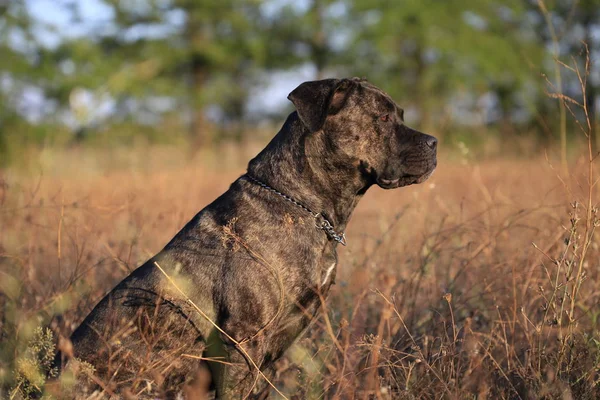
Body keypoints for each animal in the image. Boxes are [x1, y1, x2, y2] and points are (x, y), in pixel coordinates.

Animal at [59, 77, 436, 396]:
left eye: (400, 115)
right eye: (383, 117)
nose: (434, 142)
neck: (304, 205)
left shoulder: (271, 349)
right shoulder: (243, 341)